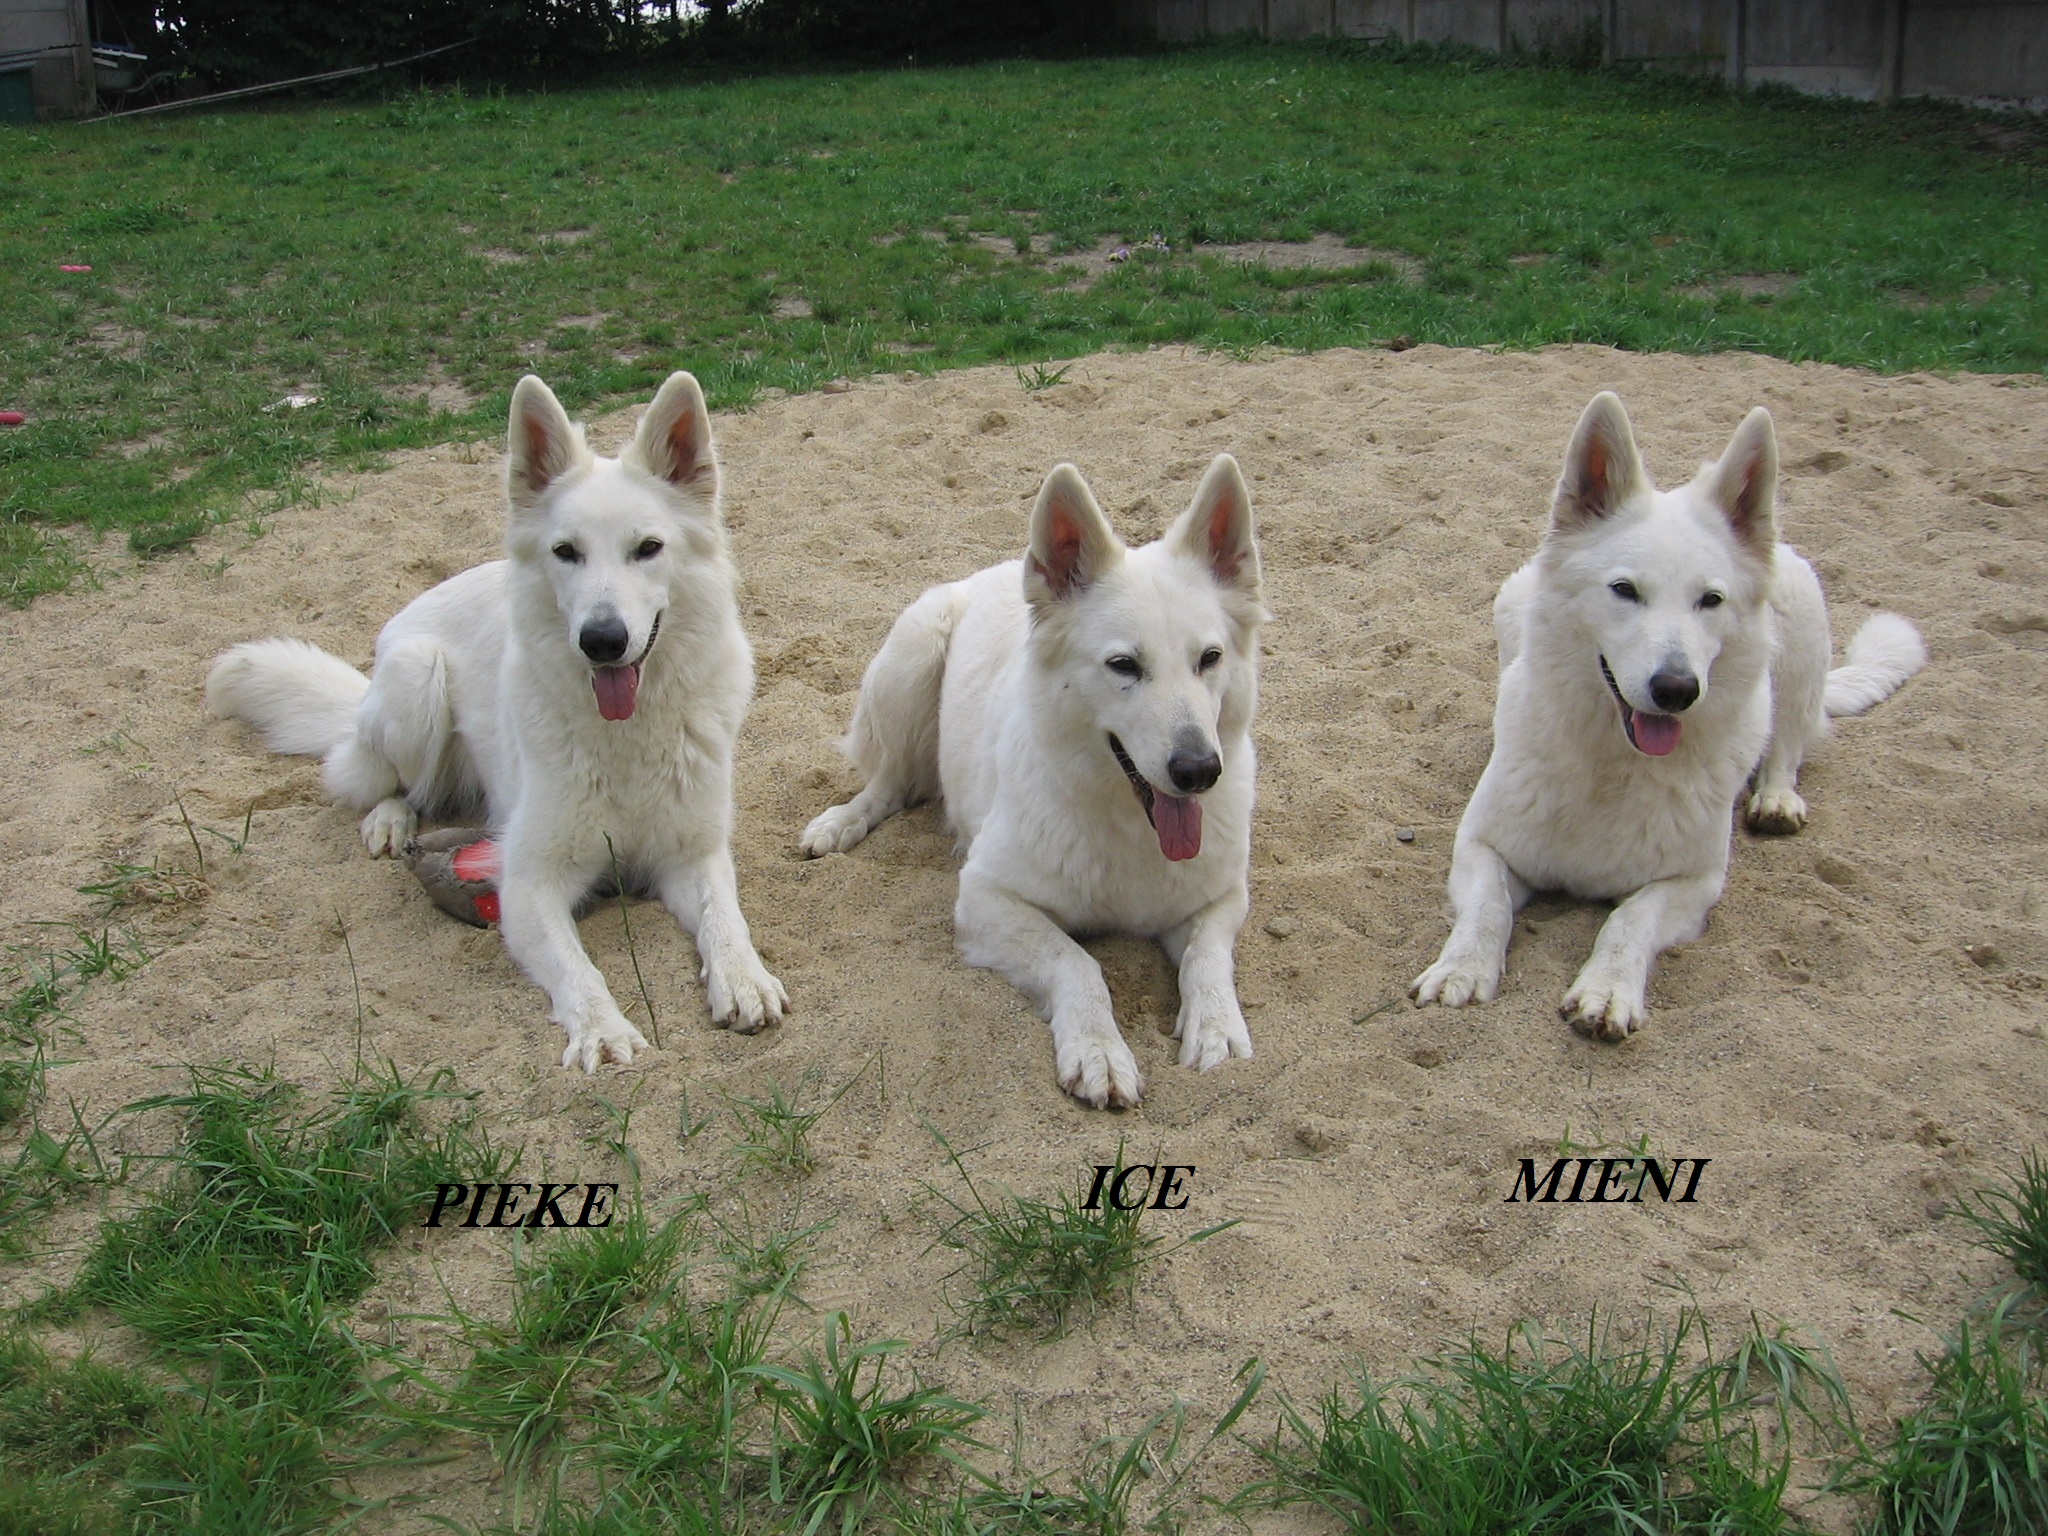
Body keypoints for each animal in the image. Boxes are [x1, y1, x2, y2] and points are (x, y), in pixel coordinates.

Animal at [207, 372, 787, 1071]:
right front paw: (602, 1029)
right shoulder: (529, 881)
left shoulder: (694, 854)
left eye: (648, 549)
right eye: (566, 552)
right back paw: (390, 820)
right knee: (376, 781)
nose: (601, 641)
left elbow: (727, 920)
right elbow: (579, 969)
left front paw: (744, 979)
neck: (627, 738)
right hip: (416, 681)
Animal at [801, 457, 1266, 1108]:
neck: (1130, 826)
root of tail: (993, 569)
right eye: (1124, 665)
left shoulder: (1221, 898)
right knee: (890, 782)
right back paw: (841, 823)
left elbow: (1207, 958)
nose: (1199, 771)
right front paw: (1098, 1050)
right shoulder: (985, 896)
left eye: (1210, 658)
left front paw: (1217, 1028)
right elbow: (1075, 962)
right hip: (912, 661)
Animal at [1411, 391, 1925, 1037]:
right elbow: (1488, 908)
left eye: (1711, 599)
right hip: (1510, 602)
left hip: (1802, 633)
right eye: (1624, 590)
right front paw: (1462, 969)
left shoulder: (1692, 884)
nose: (1678, 688)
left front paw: (1607, 990)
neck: (1613, 767)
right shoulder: (1480, 846)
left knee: (1787, 744)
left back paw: (1777, 798)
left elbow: (1628, 920)